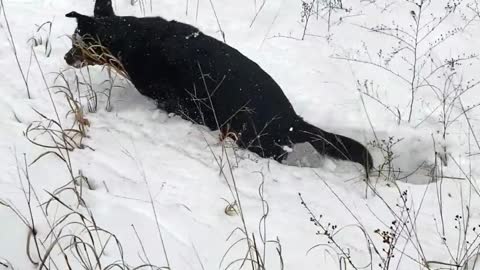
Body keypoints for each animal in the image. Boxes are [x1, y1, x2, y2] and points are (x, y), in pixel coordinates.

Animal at [63, 0, 374, 173]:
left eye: (76, 42)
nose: (66, 58)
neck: (129, 39)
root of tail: (292, 120)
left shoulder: (172, 102)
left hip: (255, 141)